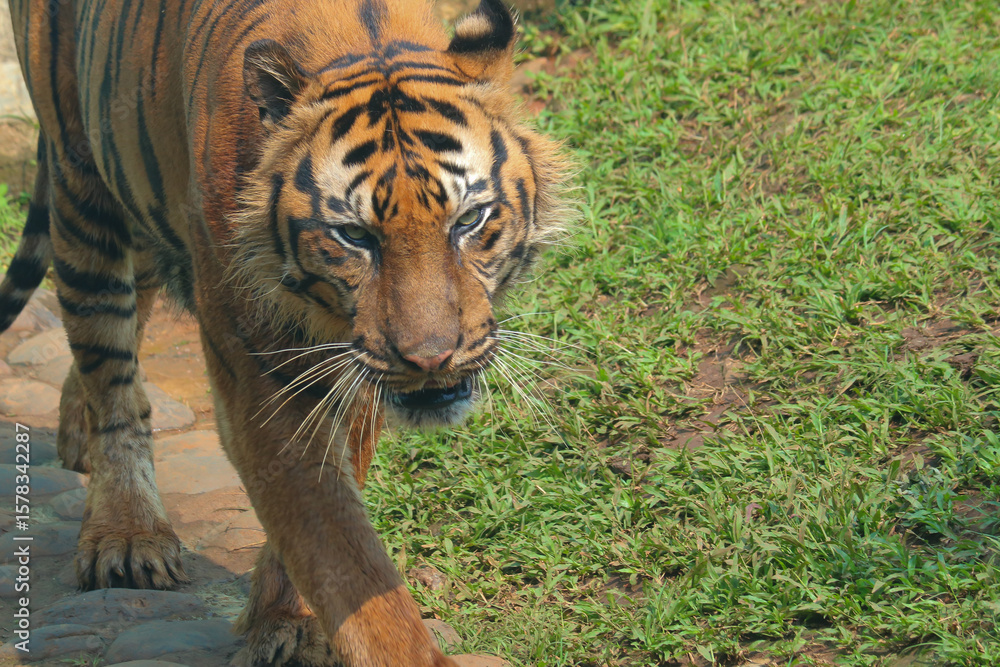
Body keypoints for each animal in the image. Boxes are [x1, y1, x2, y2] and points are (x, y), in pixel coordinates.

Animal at [0, 0, 569, 664]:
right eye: (355, 236)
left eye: (469, 219)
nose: (431, 360)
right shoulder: (261, 374)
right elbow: (338, 550)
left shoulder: (354, 364)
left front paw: (287, 622)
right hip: (81, 188)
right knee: (109, 371)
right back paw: (128, 534)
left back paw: (76, 436)